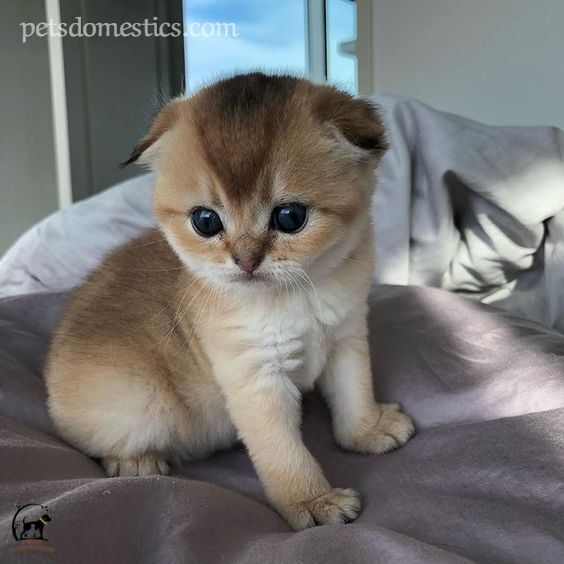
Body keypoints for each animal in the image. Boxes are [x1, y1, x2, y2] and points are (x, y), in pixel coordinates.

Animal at [45, 72, 414, 532]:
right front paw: (313, 502)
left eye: (290, 217)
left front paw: (366, 431)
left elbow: (355, 391)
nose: (246, 260)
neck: (296, 296)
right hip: (140, 403)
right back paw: (137, 462)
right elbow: (283, 453)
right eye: (205, 221)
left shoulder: (346, 338)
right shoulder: (256, 380)